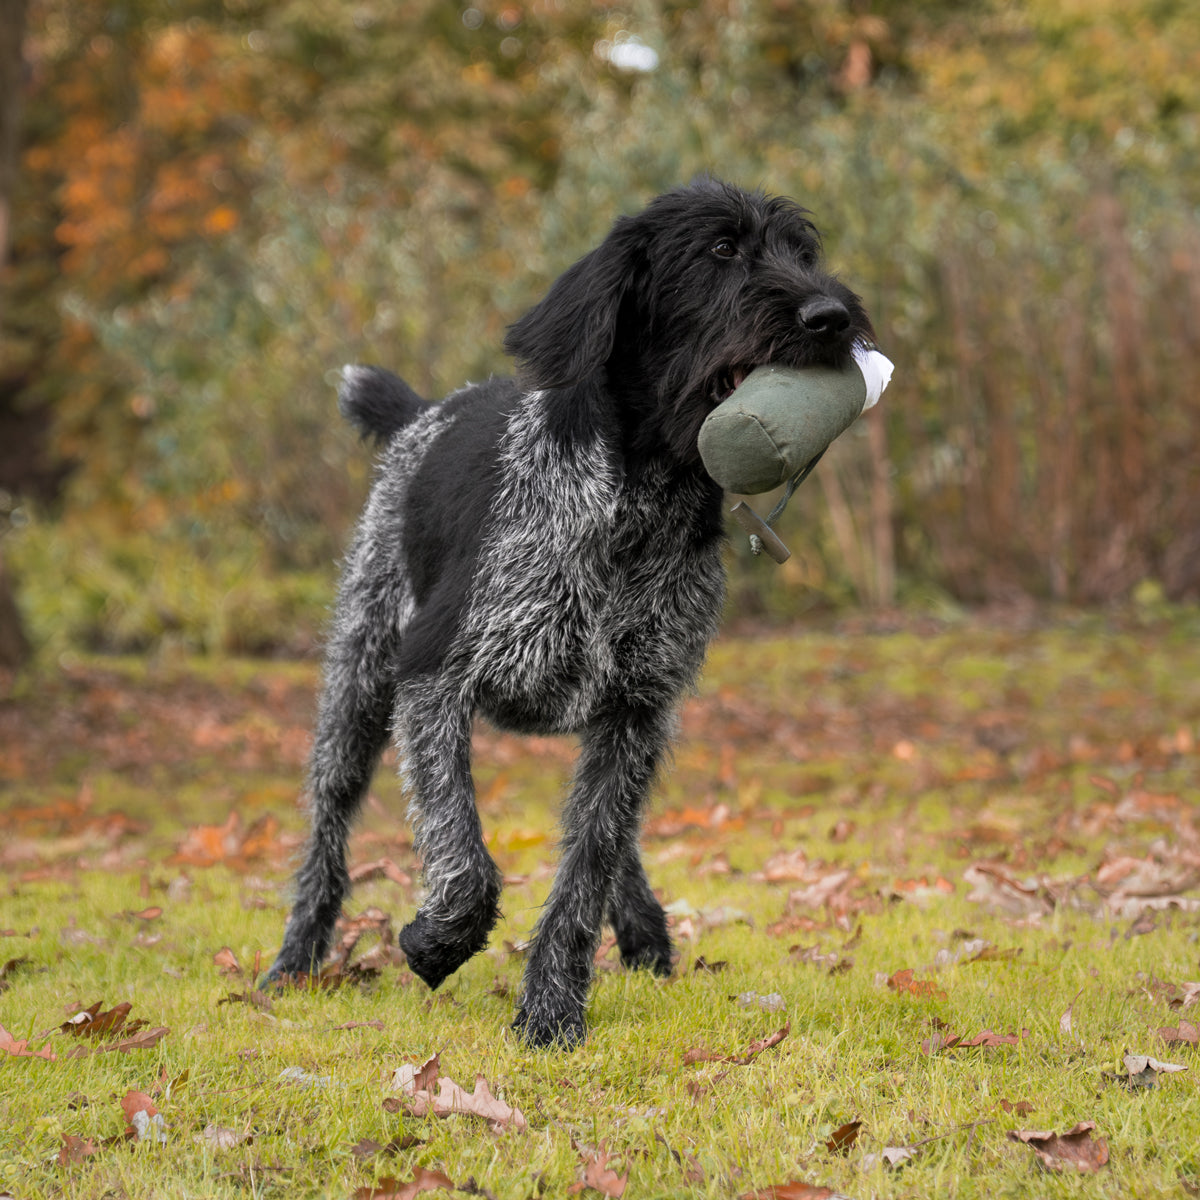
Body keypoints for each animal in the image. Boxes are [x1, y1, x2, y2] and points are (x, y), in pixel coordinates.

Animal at [267, 174, 873, 1046]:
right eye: (723, 250)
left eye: (802, 252)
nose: (833, 317)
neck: (641, 508)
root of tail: (421, 414)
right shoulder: (432, 679)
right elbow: (467, 862)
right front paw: (436, 942)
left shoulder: (638, 709)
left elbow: (588, 865)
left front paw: (552, 1007)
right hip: (359, 686)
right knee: (327, 839)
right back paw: (294, 962)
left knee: (610, 835)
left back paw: (644, 929)